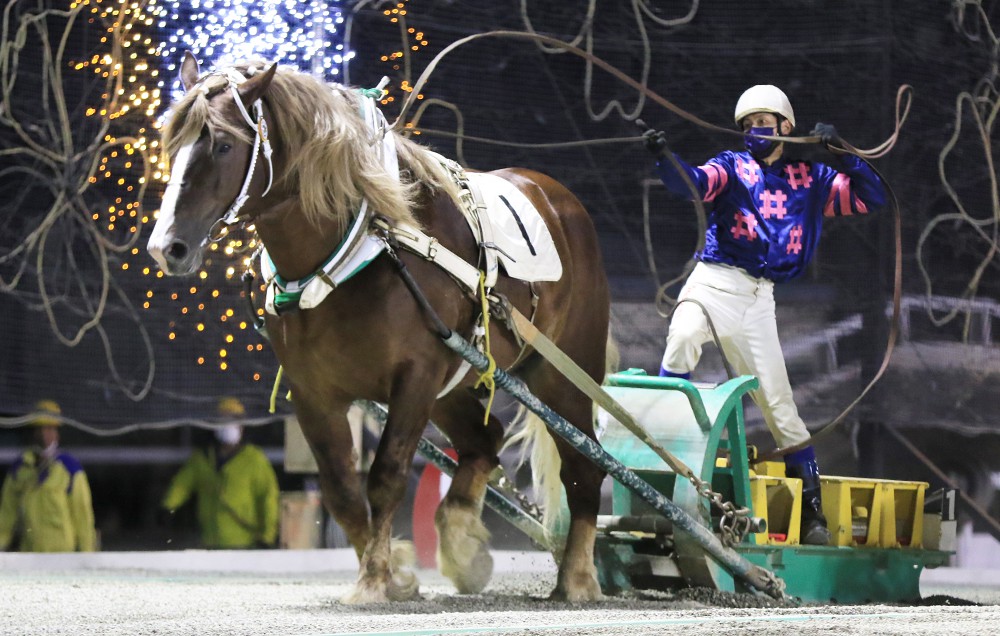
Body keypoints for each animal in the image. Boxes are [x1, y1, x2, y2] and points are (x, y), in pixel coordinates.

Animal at [149, 53, 612, 600]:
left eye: (222, 144)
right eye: (171, 144)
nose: (166, 247)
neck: (357, 248)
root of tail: (556, 197)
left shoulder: (414, 377)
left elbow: (386, 476)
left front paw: (373, 580)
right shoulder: (314, 390)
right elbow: (341, 490)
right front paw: (397, 573)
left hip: (558, 374)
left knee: (585, 467)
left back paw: (578, 577)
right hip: (453, 383)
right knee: (484, 442)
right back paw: (463, 545)